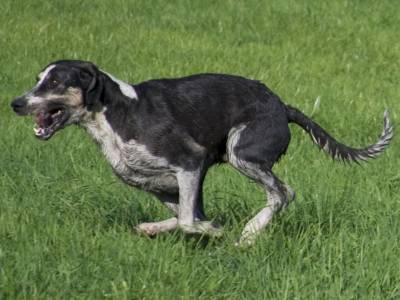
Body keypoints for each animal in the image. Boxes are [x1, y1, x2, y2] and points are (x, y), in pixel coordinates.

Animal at [10, 59, 394, 245]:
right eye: (38, 78)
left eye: (56, 82)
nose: (16, 103)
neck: (119, 112)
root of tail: (282, 107)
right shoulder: (161, 184)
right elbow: (186, 216)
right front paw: (160, 228)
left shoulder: (191, 162)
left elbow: (187, 221)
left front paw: (217, 233)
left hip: (243, 154)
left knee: (284, 192)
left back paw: (249, 234)